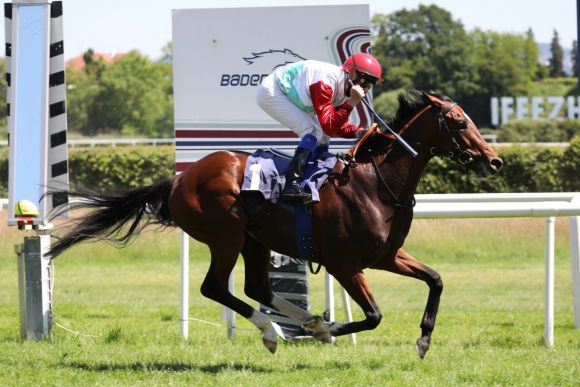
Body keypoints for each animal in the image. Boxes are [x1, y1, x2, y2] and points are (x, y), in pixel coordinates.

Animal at [47, 89, 502, 360]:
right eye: (458, 122)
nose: (494, 160)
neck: (376, 183)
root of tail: (180, 179)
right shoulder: (344, 264)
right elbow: (373, 315)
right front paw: (329, 327)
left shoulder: (386, 255)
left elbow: (436, 279)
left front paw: (423, 339)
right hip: (226, 234)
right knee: (216, 288)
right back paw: (275, 330)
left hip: (255, 239)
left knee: (257, 288)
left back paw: (298, 326)